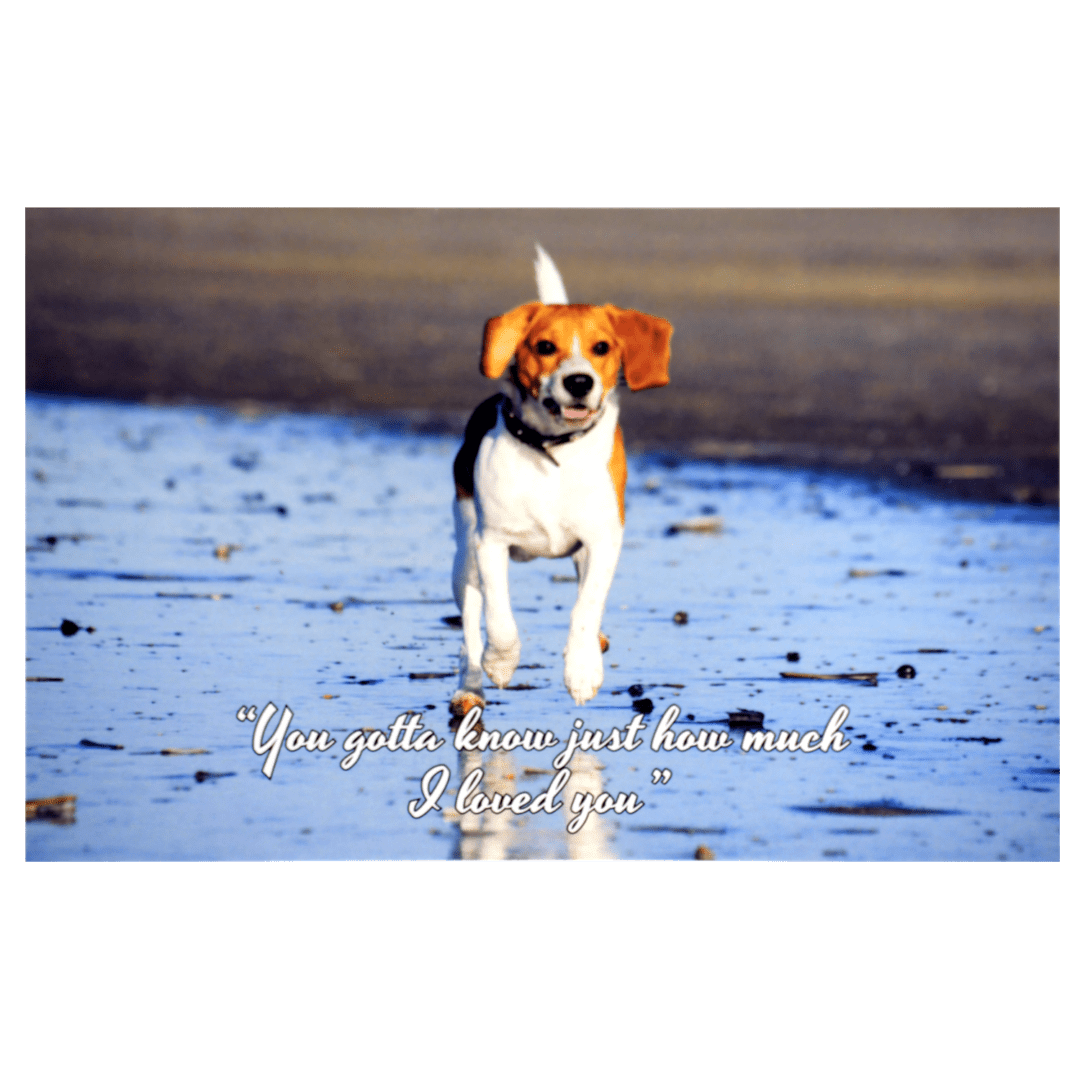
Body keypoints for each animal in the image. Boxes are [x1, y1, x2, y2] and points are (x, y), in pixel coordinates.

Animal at [449, 245, 669, 717]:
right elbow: (499, 618)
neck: (554, 450)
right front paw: (501, 662)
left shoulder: (603, 541)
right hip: (464, 561)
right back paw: (470, 687)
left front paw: (582, 669)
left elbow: (585, 608)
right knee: (471, 627)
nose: (579, 381)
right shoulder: (490, 542)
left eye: (602, 347)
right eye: (544, 347)